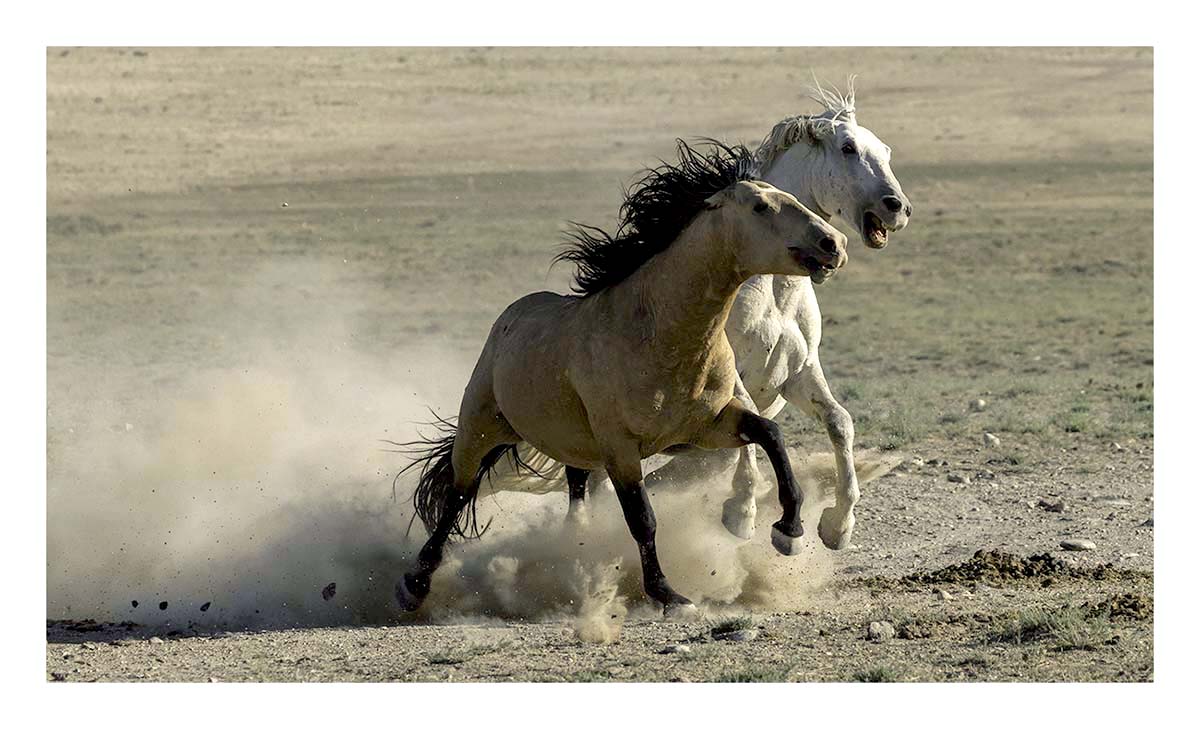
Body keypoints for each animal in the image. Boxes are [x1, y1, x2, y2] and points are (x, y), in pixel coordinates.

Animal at [396, 141, 847, 615]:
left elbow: (770, 434)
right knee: (457, 496)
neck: (662, 335)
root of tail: (510, 318)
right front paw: (667, 593)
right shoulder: (621, 449)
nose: (833, 244)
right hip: (481, 430)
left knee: (573, 486)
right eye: (760, 206)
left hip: (574, 443)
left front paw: (789, 531)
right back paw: (414, 585)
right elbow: (642, 518)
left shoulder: (708, 427)